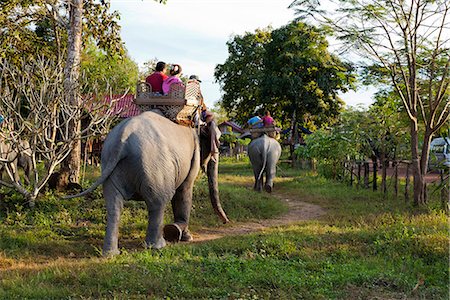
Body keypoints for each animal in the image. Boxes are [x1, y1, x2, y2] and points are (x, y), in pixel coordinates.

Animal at [67, 111, 229, 256]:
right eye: (218, 141)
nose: (226, 222)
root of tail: (122, 138)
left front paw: (177, 232)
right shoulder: (193, 157)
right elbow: (184, 190)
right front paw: (184, 236)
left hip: (108, 163)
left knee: (113, 205)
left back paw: (110, 254)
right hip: (154, 166)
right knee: (158, 203)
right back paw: (157, 246)